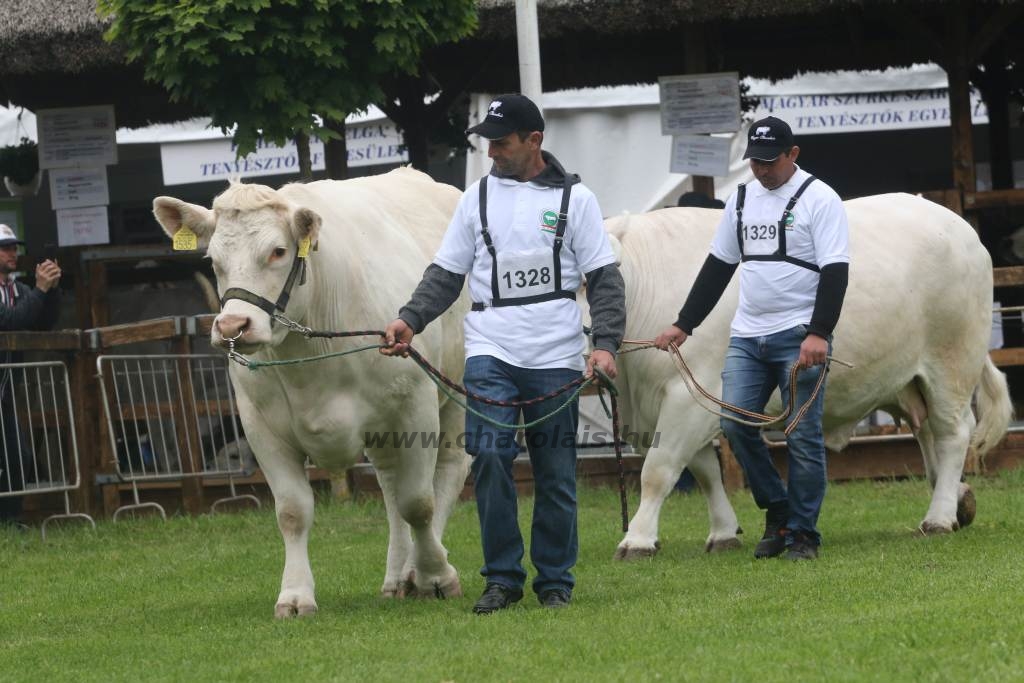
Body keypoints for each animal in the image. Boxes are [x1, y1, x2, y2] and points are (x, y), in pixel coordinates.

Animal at [152, 167, 471, 618]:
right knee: (390, 485)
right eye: (213, 260)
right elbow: (292, 511)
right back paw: (396, 577)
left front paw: (435, 575)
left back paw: (418, 570)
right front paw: (295, 595)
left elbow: (419, 502)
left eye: (278, 251)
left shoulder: (416, 407)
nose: (233, 327)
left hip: (455, 396)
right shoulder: (260, 427)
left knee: (448, 471)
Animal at [602, 189, 1011, 557]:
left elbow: (659, 470)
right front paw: (723, 533)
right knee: (926, 432)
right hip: (912, 379)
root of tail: (958, 226)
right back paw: (958, 500)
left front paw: (637, 539)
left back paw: (939, 517)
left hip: (952, 362)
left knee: (952, 434)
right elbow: (705, 472)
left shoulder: (689, 395)